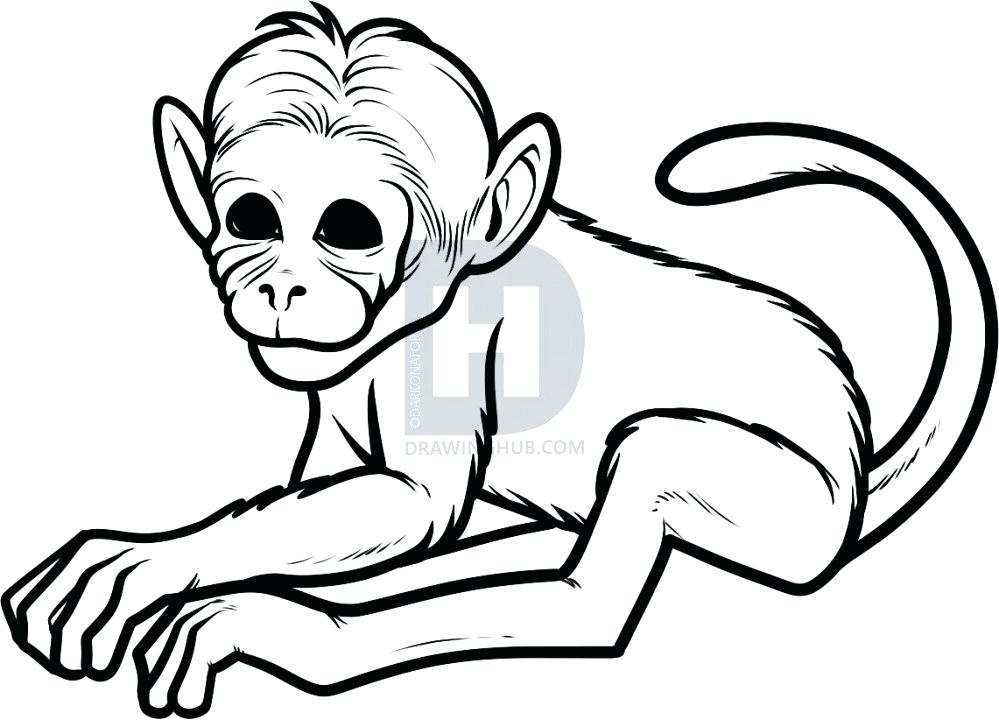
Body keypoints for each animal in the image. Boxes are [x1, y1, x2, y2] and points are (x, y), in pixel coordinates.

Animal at [2, 4, 995, 717]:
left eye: (347, 229)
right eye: (251, 219)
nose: (282, 287)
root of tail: (855, 465)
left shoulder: (445, 351)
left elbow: (415, 505)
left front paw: (182, 572)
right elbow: (333, 499)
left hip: (790, 508)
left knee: (596, 575)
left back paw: (307, 634)